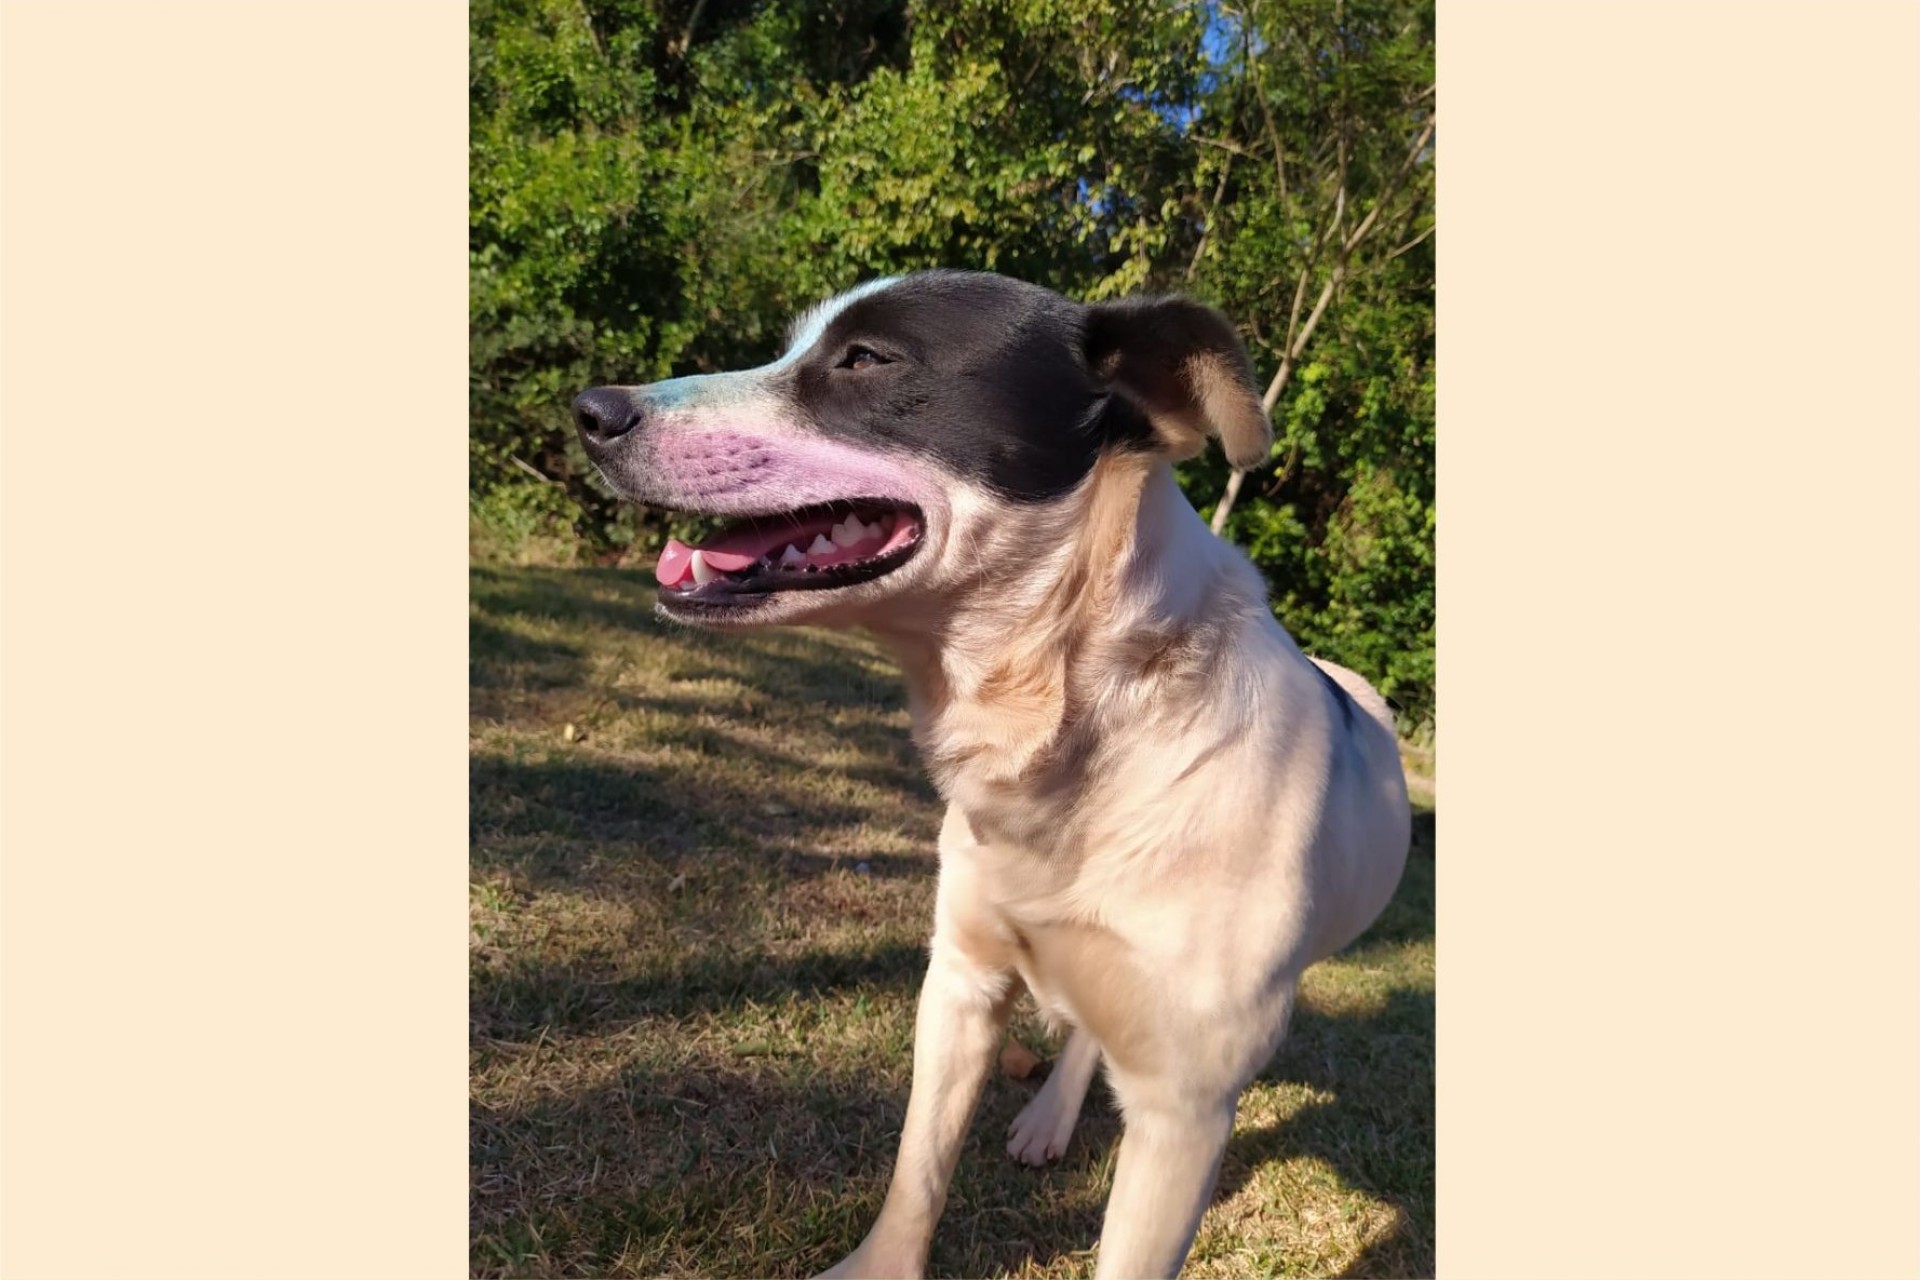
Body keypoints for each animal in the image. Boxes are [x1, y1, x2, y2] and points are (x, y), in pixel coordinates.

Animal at [568, 264, 1413, 1274]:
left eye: (866, 358)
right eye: (793, 346)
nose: (589, 409)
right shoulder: (961, 979)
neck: (1086, 720)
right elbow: (917, 1172)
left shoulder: (1184, 1113)